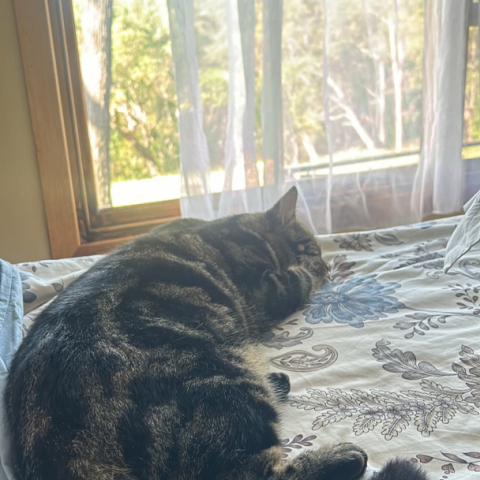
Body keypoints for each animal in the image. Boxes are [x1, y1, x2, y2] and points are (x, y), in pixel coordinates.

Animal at [4, 188, 428, 480]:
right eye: (310, 245)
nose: (326, 261)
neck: (230, 228)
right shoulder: (270, 287)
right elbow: (300, 278)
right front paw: (317, 270)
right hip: (221, 382)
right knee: (252, 474)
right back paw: (342, 458)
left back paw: (278, 381)